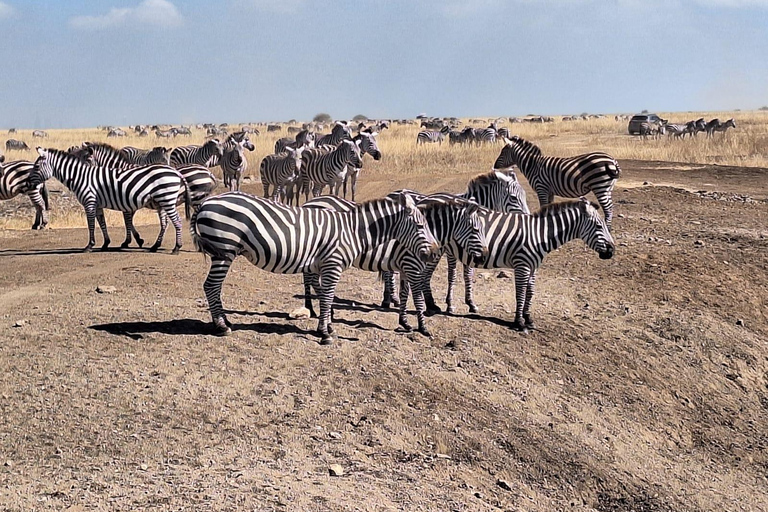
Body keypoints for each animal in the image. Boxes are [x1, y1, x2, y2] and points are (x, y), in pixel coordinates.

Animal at [30, 147, 192, 253]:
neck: (81, 177)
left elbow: (91, 224)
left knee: (177, 221)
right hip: (162, 201)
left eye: (37, 166)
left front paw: (90, 245)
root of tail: (175, 172)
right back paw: (156, 246)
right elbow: (103, 223)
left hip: (167, 199)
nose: (29, 183)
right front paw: (106, 243)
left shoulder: (90, 202)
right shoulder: (98, 204)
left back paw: (177, 248)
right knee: (167, 223)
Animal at [190, 190, 440, 342]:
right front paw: (325, 333)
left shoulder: (323, 266)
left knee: (212, 288)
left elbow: (324, 296)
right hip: (224, 250)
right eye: (420, 226)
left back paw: (224, 321)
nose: (435, 252)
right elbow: (327, 296)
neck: (352, 231)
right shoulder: (333, 264)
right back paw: (221, 327)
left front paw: (327, 326)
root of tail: (205, 202)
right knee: (211, 286)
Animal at [302, 193, 486, 336]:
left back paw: (321, 310)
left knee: (312, 280)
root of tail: (309, 202)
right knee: (310, 280)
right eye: (476, 230)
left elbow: (404, 294)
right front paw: (423, 327)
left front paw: (404, 322)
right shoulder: (412, 267)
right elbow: (418, 300)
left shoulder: (405, 268)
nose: (484, 256)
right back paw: (314, 309)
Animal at [436, 198, 616, 330]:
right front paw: (519, 321)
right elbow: (520, 293)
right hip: (448, 250)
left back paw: (470, 305)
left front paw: (528, 317)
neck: (539, 235)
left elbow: (530, 292)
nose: (612, 250)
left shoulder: (533, 266)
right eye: (599, 226)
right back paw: (449, 305)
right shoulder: (522, 265)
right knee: (451, 276)